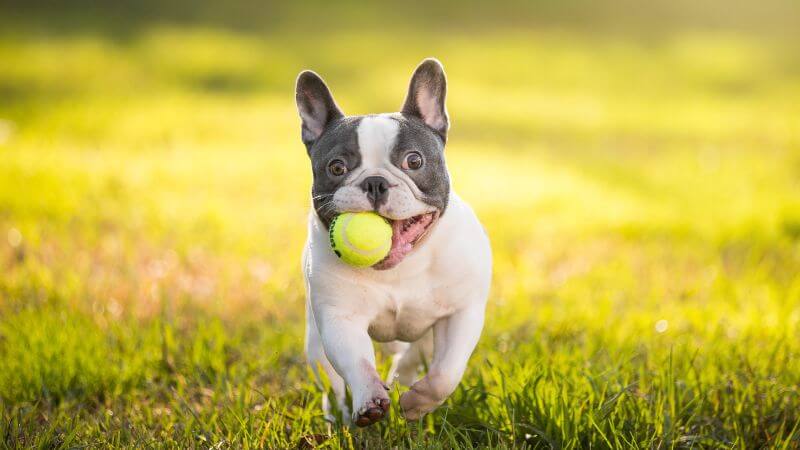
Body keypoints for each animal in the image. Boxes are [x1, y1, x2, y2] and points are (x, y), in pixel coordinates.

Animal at [296, 58, 490, 428]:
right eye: (337, 167)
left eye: (414, 161)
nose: (375, 182)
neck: (401, 266)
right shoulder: (340, 318)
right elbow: (357, 363)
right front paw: (370, 400)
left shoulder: (461, 313)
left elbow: (446, 372)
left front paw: (416, 403)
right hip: (314, 343)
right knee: (331, 381)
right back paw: (338, 414)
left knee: (415, 356)